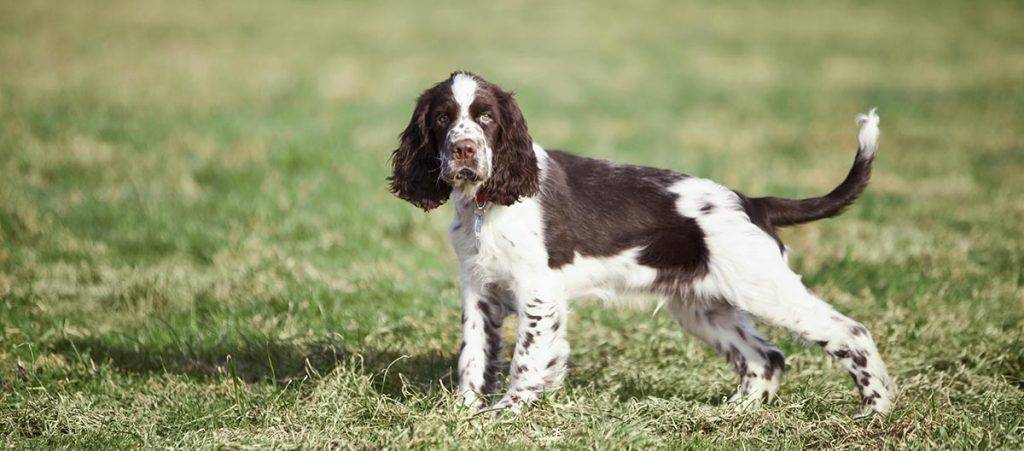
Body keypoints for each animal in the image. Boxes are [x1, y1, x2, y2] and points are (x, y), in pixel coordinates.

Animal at [387, 69, 892, 416]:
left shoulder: (538, 291)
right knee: (765, 357)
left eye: (487, 117)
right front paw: (462, 412)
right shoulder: (479, 289)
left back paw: (876, 409)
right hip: (703, 306)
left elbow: (526, 359)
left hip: (763, 288)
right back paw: (737, 413)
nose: (464, 150)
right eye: (442, 118)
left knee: (850, 333)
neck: (486, 203)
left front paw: (507, 413)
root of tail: (752, 203)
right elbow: (474, 356)